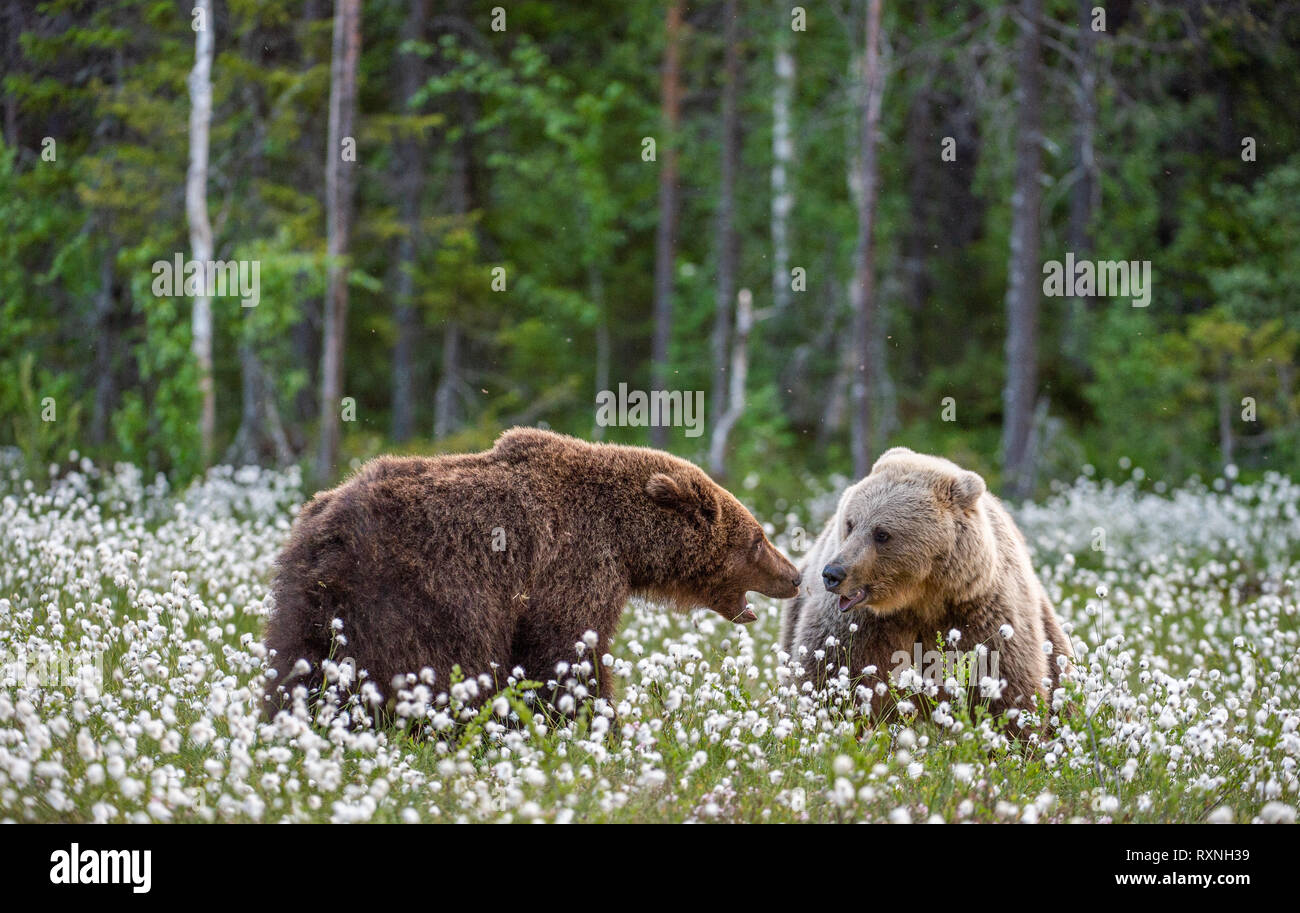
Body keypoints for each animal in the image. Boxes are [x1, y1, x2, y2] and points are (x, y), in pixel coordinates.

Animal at [263, 429, 800, 723]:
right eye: (757, 539)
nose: (794, 575)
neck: (626, 539)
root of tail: (320, 527)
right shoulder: (575, 565)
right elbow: (565, 649)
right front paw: (596, 724)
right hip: (404, 590)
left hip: (308, 598)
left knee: (296, 661)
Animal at [780, 449, 1066, 728]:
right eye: (850, 523)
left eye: (881, 533)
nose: (833, 573)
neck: (921, 599)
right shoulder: (860, 625)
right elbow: (831, 671)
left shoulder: (981, 613)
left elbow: (1006, 683)